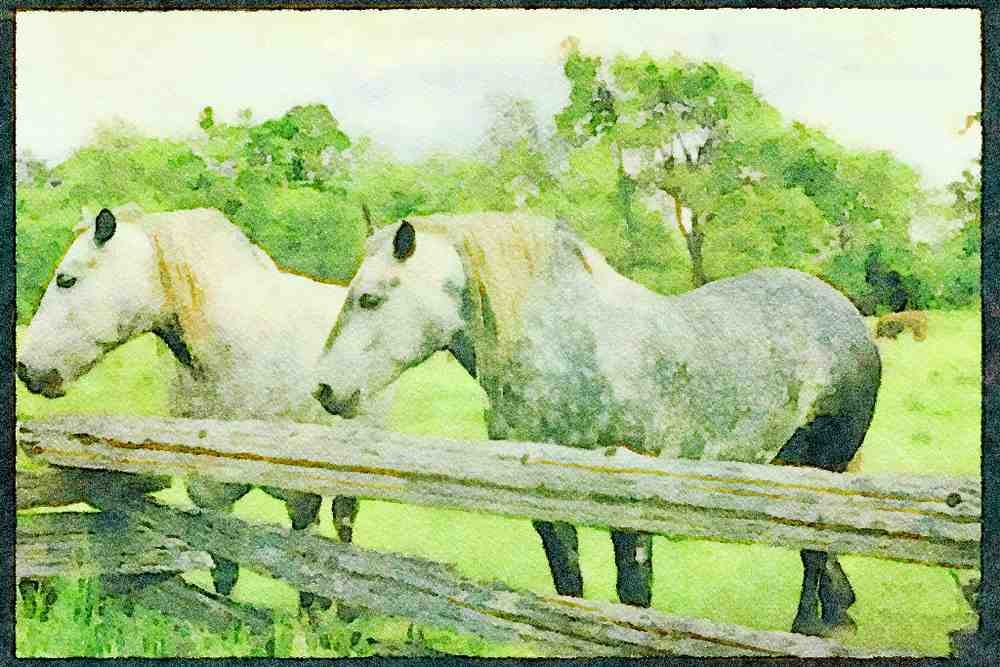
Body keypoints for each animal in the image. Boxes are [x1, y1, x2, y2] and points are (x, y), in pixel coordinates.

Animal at [17, 204, 390, 610]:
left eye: (66, 280)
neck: (236, 352)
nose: (26, 368)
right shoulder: (210, 491)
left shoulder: (300, 491)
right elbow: (224, 569)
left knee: (344, 527)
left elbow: (310, 569)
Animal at [313, 212, 881, 637]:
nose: (324, 389)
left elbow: (633, 597)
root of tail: (847, 316)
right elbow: (570, 587)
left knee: (814, 553)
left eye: (370, 297)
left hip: (822, 470)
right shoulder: (545, 507)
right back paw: (839, 611)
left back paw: (808, 628)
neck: (574, 353)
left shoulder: (632, 505)